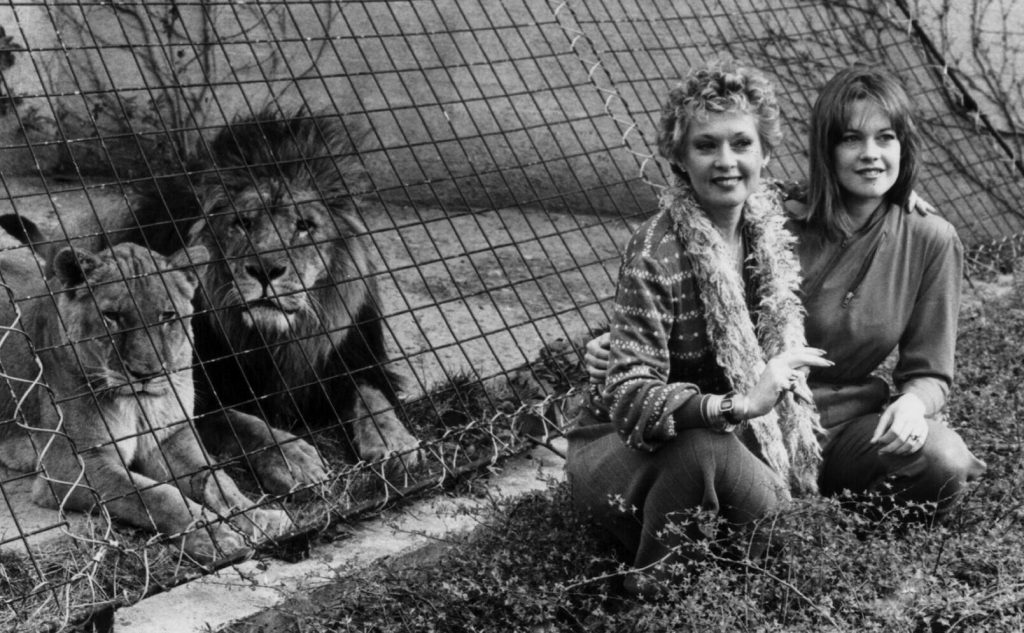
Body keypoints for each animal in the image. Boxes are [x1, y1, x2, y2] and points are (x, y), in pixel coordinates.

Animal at [0, 242, 292, 561]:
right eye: (111, 316)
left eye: (167, 316)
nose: (145, 373)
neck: (137, 406)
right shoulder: (71, 467)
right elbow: (158, 495)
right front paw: (215, 537)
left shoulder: (170, 438)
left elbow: (217, 480)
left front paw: (260, 518)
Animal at [116, 111, 423, 489]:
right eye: (243, 223)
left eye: (303, 225)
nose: (265, 270)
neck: (274, 341)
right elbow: (244, 423)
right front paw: (292, 458)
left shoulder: (354, 360)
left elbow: (372, 397)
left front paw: (393, 441)